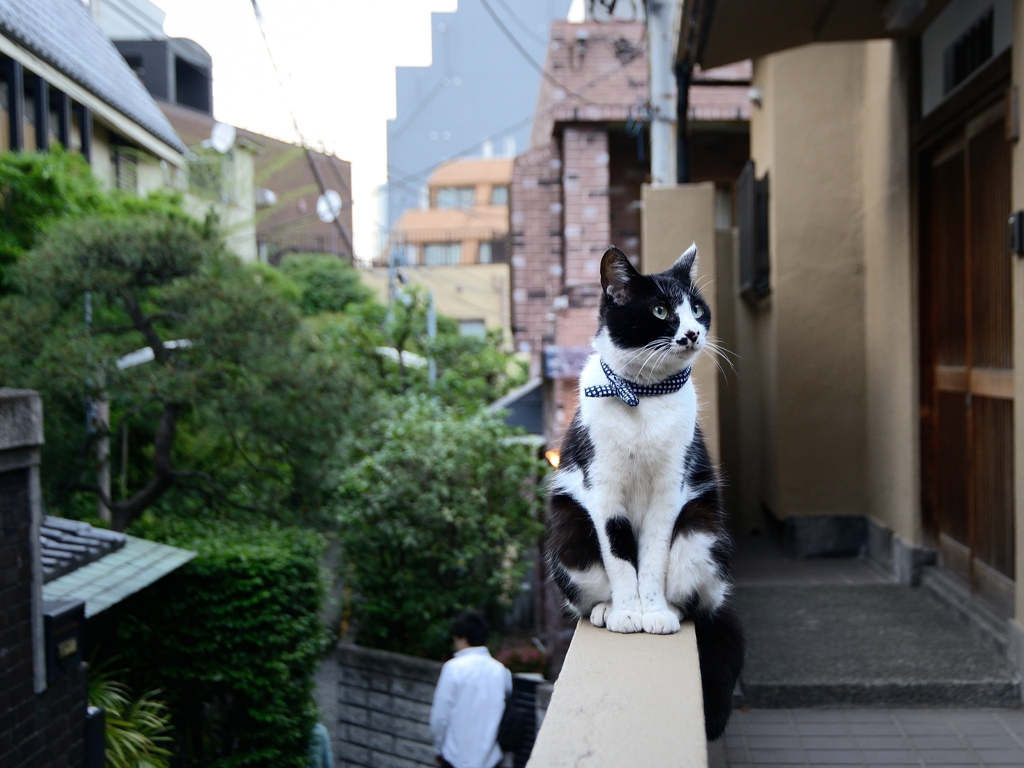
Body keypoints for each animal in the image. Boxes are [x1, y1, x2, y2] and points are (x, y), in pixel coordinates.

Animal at [552, 244, 745, 741]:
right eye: (660, 311)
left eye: (696, 309)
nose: (693, 332)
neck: (642, 395)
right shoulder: (603, 491)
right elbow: (621, 559)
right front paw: (627, 611)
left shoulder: (669, 491)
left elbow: (653, 556)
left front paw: (653, 611)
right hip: (569, 533)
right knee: (587, 588)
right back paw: (605, 610)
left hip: (701, 532)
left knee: (695, 599)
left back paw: (672, 611)